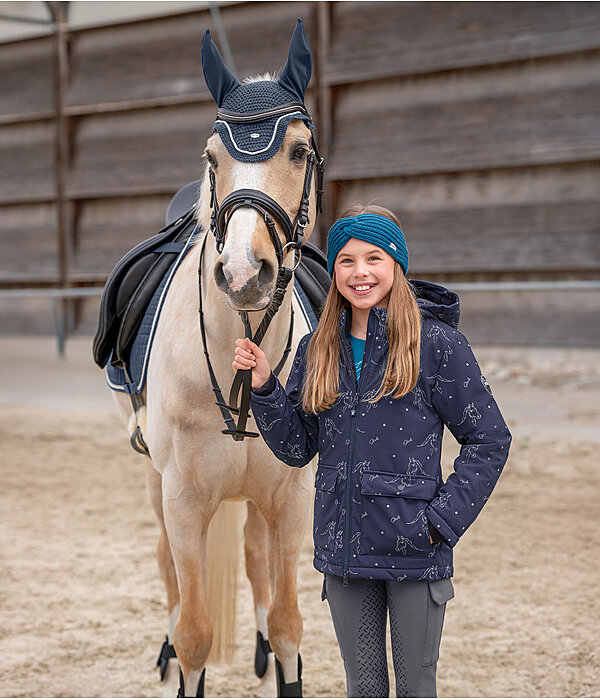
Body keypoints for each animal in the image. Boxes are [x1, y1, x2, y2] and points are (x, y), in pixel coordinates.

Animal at [110, 19, 322, 696]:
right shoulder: (183, 500)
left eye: (299, 152)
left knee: (253, 558)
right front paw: (179, 656)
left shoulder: (291, 499)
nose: (245, 272)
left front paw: (277, 655)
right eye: (212, 157)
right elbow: (196, 632)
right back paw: (163, 650)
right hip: (154, 478)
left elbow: (287, 622)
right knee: (167, 568)